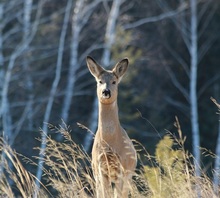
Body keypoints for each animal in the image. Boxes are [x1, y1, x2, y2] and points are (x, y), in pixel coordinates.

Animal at [86, 56, 137, 198]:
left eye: (114, 82)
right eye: (100, 81)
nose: (106, 91)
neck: (109, 142)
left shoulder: (121, 169)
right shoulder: (101, 169)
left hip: (129, 175)